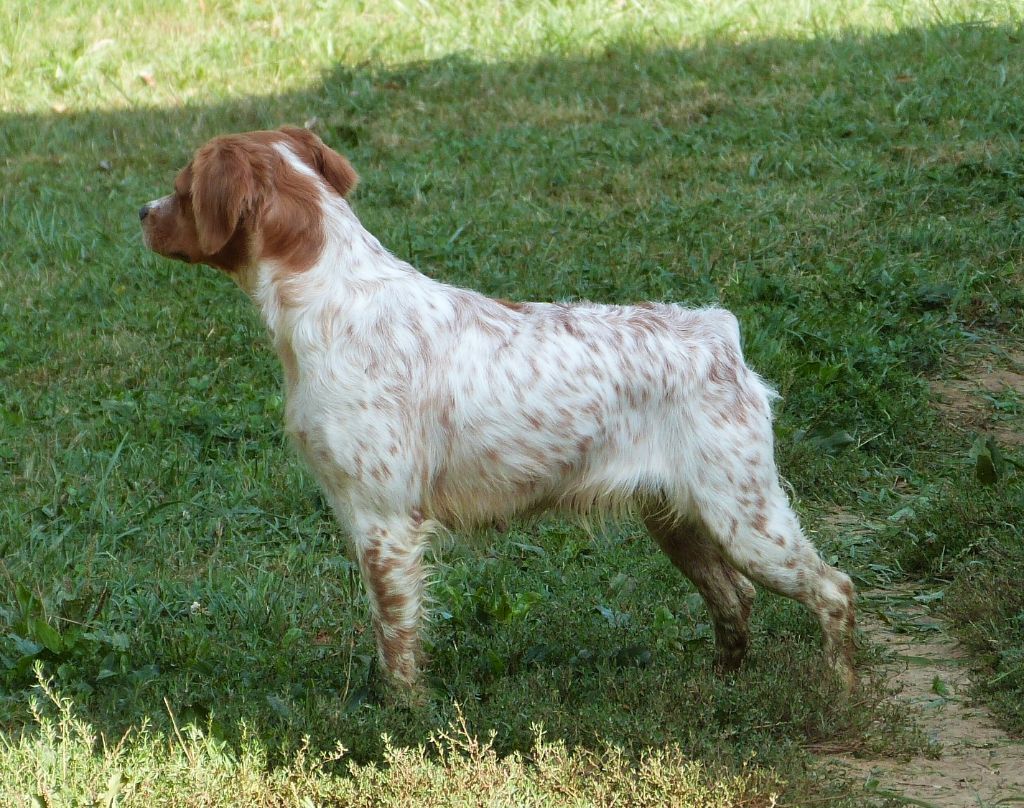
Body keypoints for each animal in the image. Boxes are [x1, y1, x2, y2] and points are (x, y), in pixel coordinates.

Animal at [138, 124, 856, 688]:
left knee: (834, 590)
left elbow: (397, 644)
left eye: (180, 187)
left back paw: (838, 691)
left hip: (745, 518)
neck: (332, 297)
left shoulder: (384, 522)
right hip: (681, 518)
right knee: (734, 598)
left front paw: (400, 723)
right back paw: (721, 681)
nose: (141, 212)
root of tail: (717, 332)